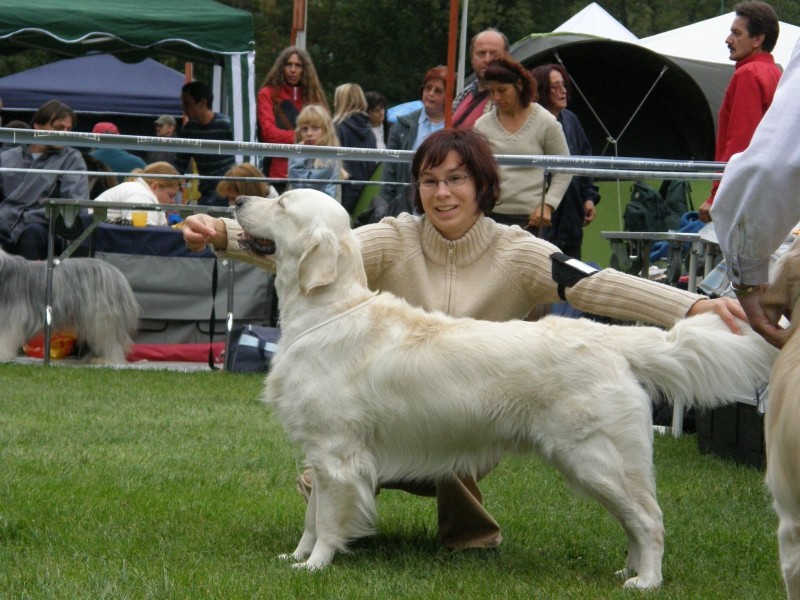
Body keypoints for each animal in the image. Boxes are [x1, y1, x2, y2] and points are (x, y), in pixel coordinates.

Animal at [234, 190, 780, 588]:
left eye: (281, 204)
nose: (237, 198)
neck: (325, 311)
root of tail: (608, 336)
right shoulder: (320, 454)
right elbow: (311, 515)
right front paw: (296, 556)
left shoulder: (338, 455)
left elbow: (327, 519)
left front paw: (316, 566)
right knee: (635, 521)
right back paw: (627, 568)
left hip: (597, 459)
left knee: (650, 519)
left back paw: (646, 581)